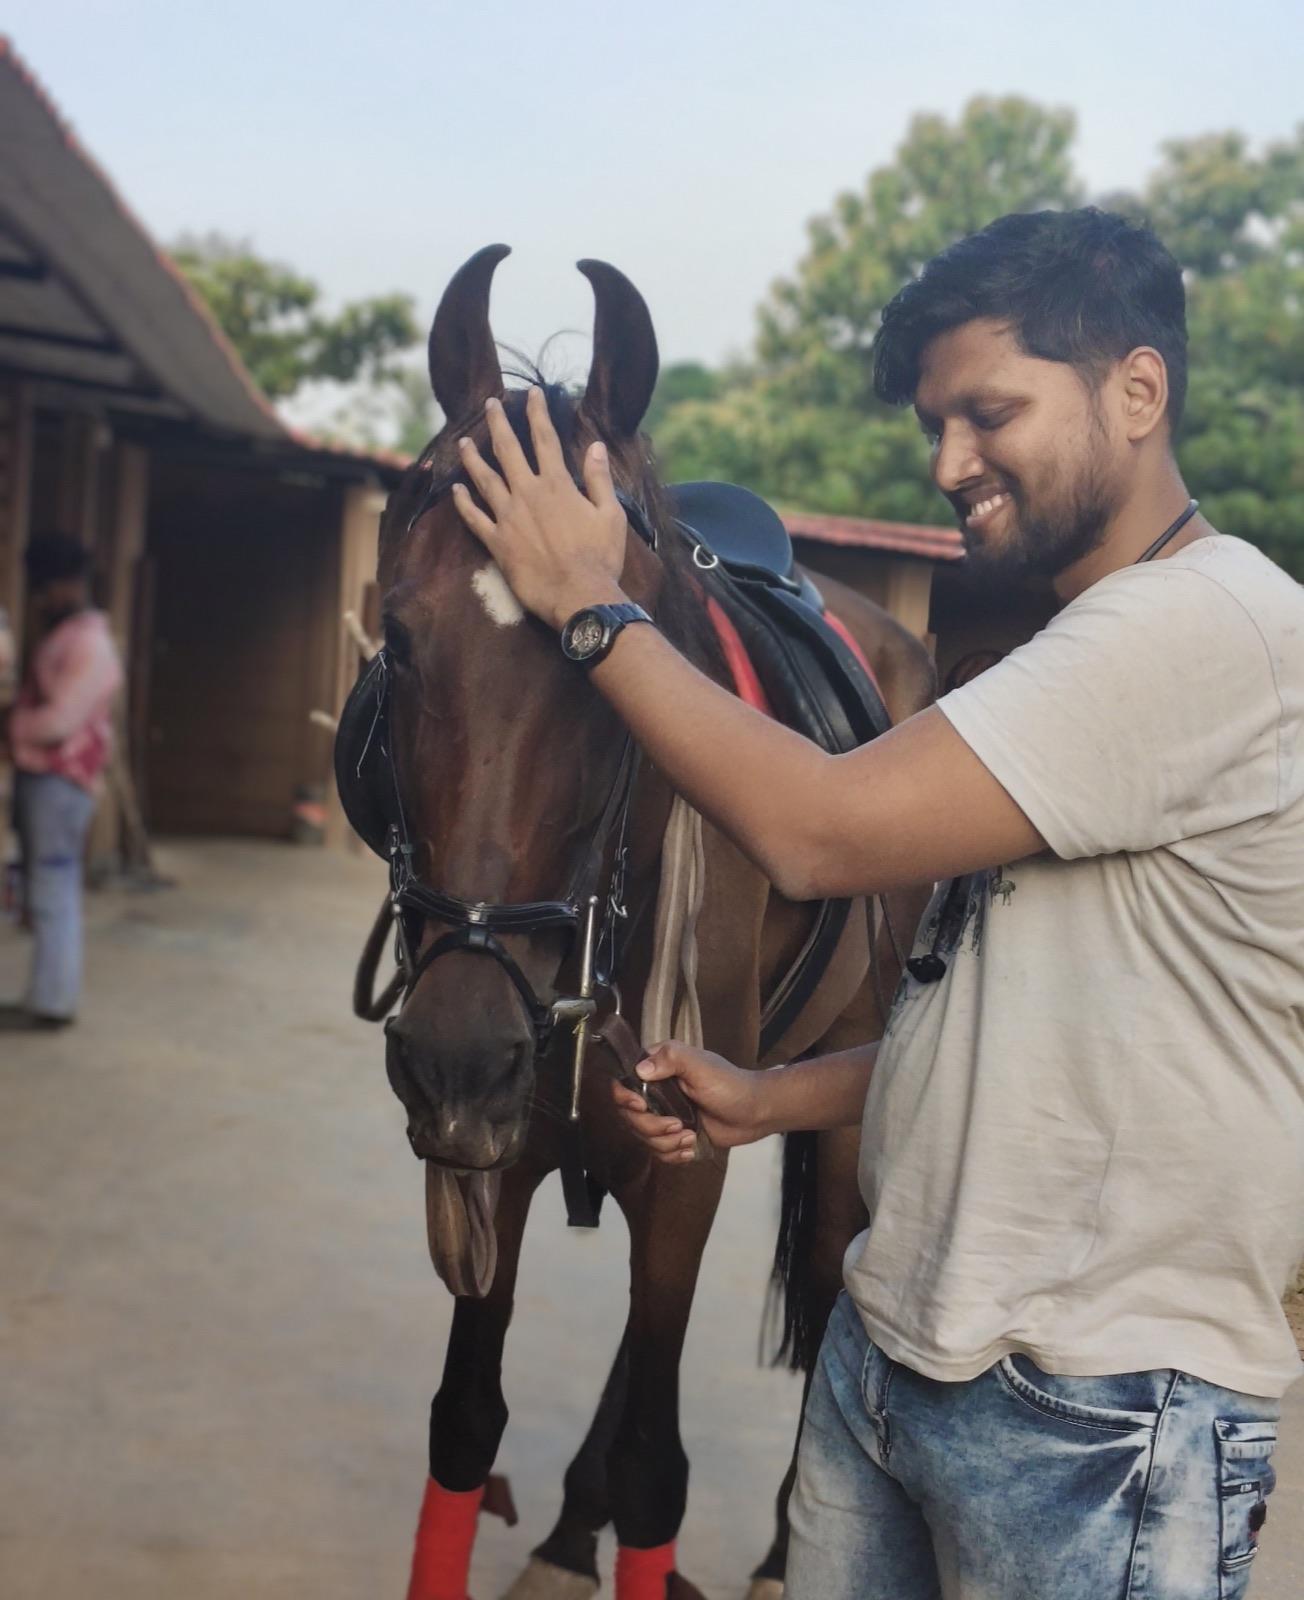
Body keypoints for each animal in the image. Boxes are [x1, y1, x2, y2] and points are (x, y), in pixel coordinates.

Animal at [342, 244, 935, 1600]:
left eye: (604, 658)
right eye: (396, 636)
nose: (456, 1050)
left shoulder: (686, 1156)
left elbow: (663, 1462)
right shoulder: (514, 1149)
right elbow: (465, 1420)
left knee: (825, 1291)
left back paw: (774, 1552)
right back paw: (571, 1529)